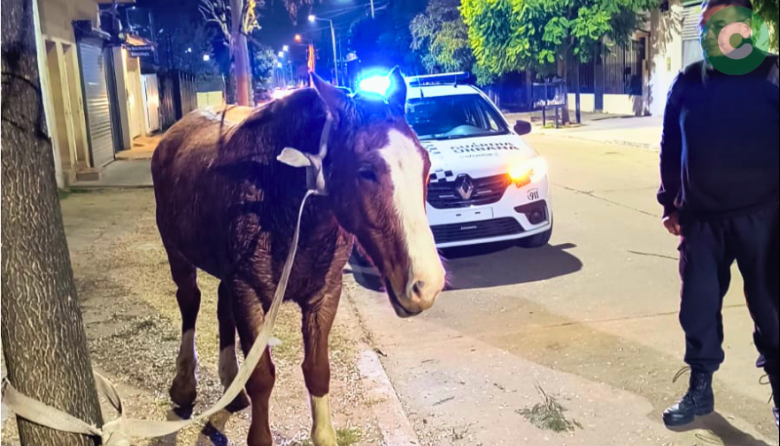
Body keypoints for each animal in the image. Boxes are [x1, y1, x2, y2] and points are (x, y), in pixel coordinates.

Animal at [150, 70, 446, 446]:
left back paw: (231, 384)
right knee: (190, 302)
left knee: (220, 304)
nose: (426, 285)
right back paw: (186, 385)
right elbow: (262, 376)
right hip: (176, 251)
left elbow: (317, 370)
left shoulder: (324, 294)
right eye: (366, 171)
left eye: (426, 164)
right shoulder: (249, 292)